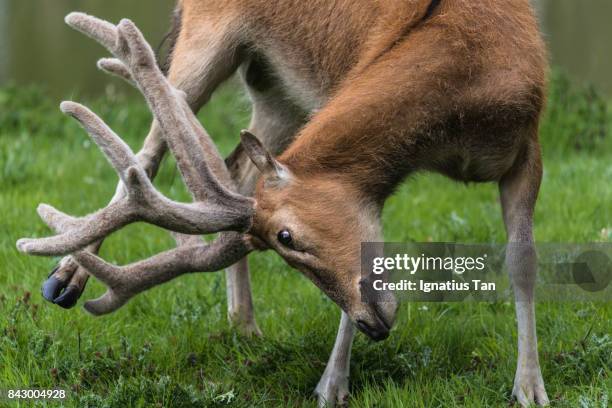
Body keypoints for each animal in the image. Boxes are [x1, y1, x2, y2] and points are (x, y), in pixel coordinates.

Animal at [16, 1, 548, 406]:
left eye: (285, 236)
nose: (374, 324)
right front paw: (332, 385)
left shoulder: (528, 144)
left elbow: (523, 263)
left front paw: (529, 388)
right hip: (203, 39)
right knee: (146, 152)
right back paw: (63, 278)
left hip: (278, 92)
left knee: (233, 167)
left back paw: (243, 322)